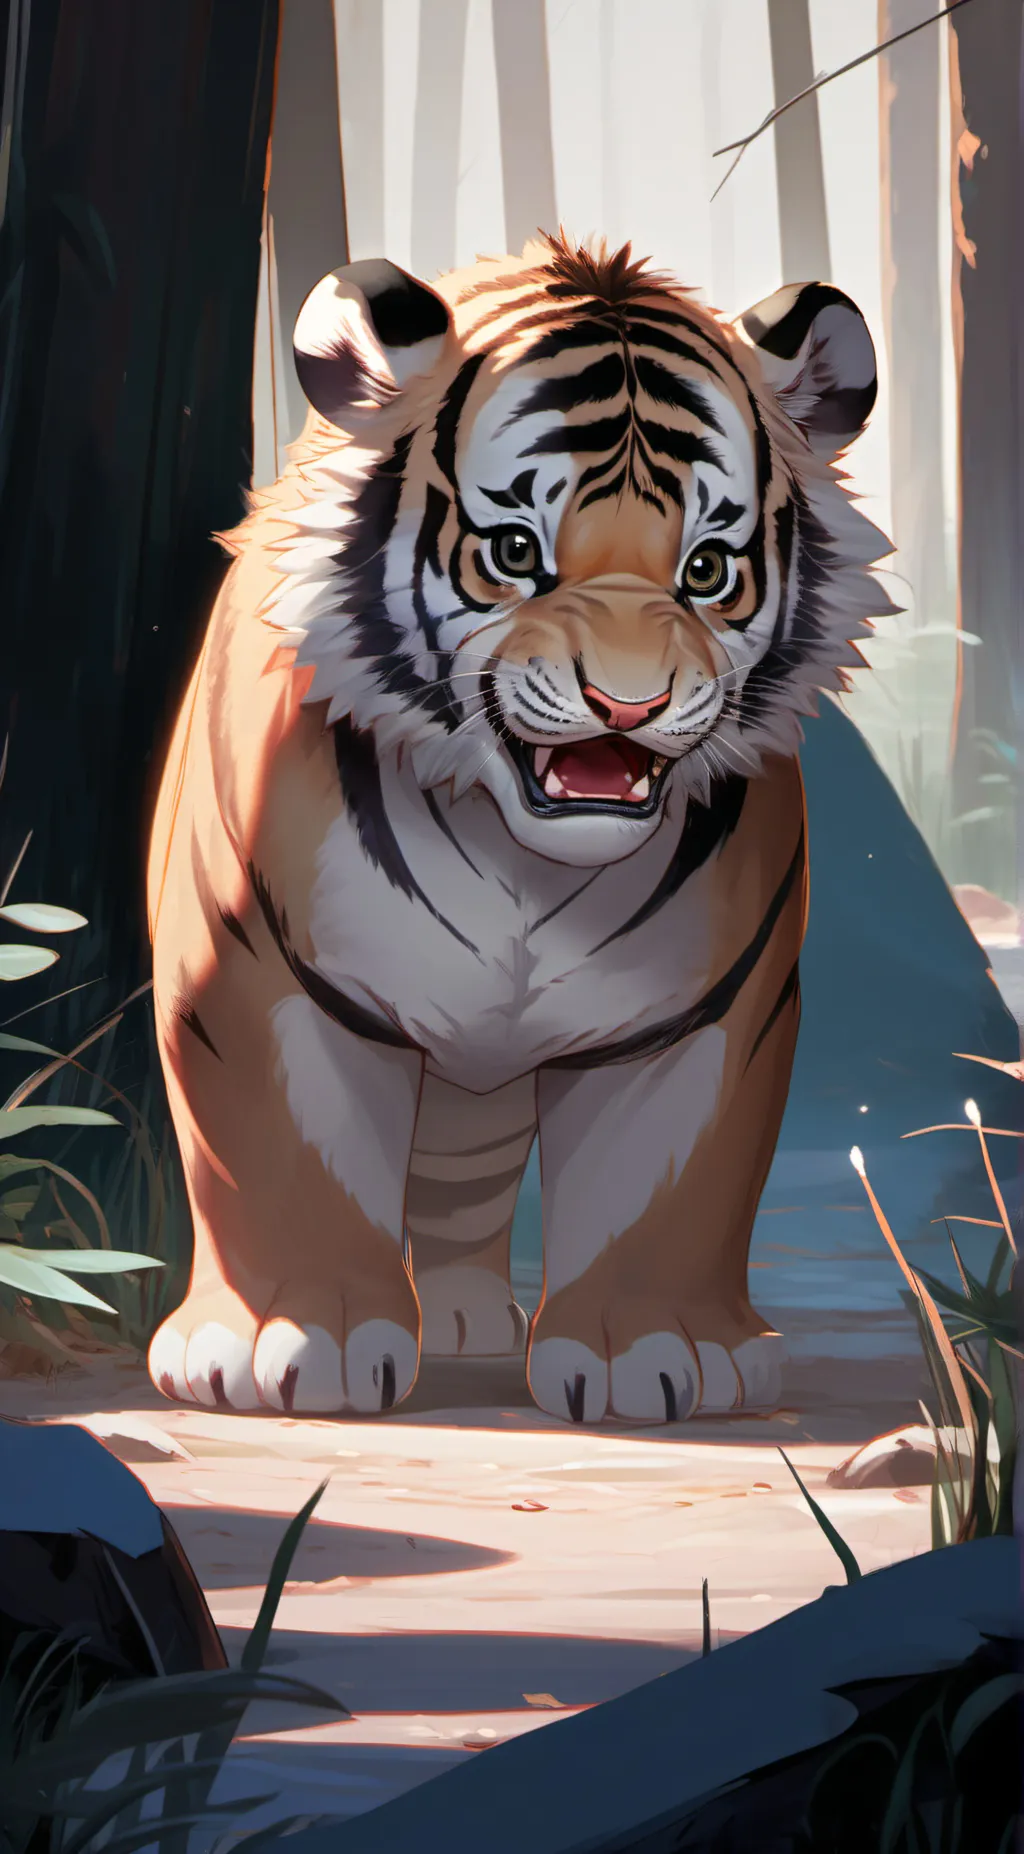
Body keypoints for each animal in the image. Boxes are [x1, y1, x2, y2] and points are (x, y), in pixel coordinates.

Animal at [146, 232, 892, 1425]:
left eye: (707, 568)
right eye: (510, 549)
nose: (627, 706)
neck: (521, 863)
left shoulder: (700, 1011)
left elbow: (666, 1184)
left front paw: (660, 1353)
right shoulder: (251, 961)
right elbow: (280, 1154)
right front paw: (288, 1344)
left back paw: (464, 1322)